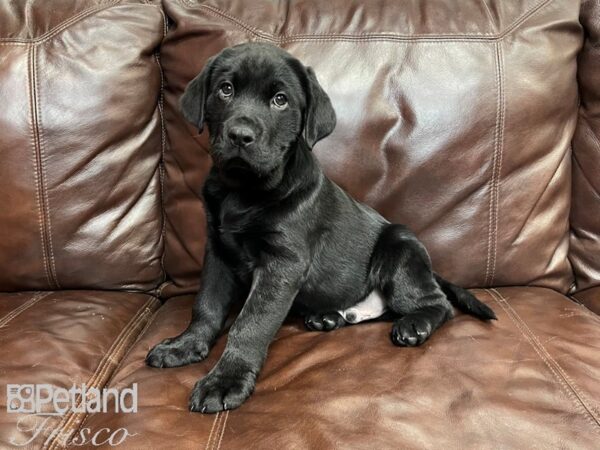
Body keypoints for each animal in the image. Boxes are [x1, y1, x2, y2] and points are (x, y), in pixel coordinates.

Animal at [146, 43, 496, 414]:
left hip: (399, 248)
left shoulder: (282, 263)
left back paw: (414, 325)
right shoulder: (218, 251)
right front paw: (185, 346)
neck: (243, 191)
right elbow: (207, 306)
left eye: (280, 100)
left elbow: (251, 322)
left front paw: (226, 380)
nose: (240, 135)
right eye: (225, 90)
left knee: (437, 302)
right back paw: (329, 317)